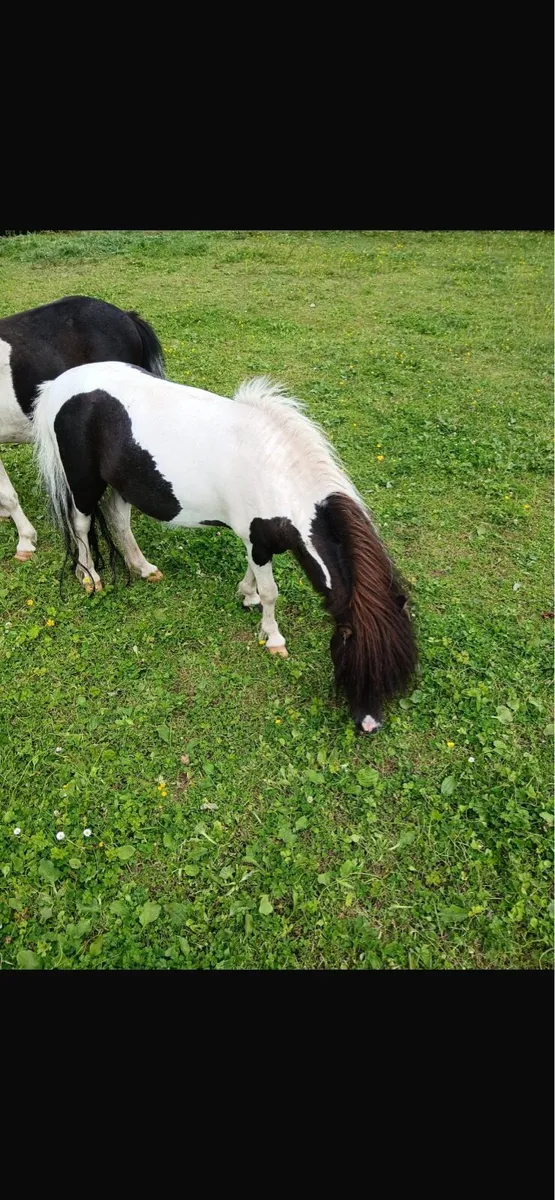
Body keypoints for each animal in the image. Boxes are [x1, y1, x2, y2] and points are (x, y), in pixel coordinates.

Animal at [32, 362, 417, 733]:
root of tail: (59, 385)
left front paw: (246, 596)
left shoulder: (256, 540)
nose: (370, 725)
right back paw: (89, 578)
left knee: (119, 519)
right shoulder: (258, 541)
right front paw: (273, 638)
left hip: (124, 484)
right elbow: (271, 592)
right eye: (359, 662)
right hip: (84, 483)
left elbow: (255, 578)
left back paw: (143, 568)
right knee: (81, 525)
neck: (277, 475)